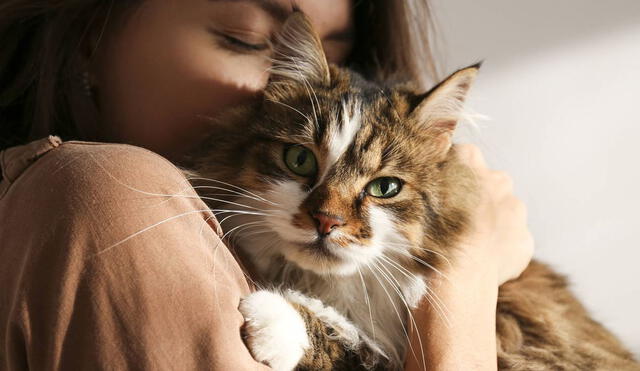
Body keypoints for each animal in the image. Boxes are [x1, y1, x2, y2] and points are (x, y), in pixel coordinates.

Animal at [188, 11, 636, 371]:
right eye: (299, 160)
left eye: (385, 187)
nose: (326, 221)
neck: (339, 290)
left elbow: (354, 346)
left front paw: (275, 319)